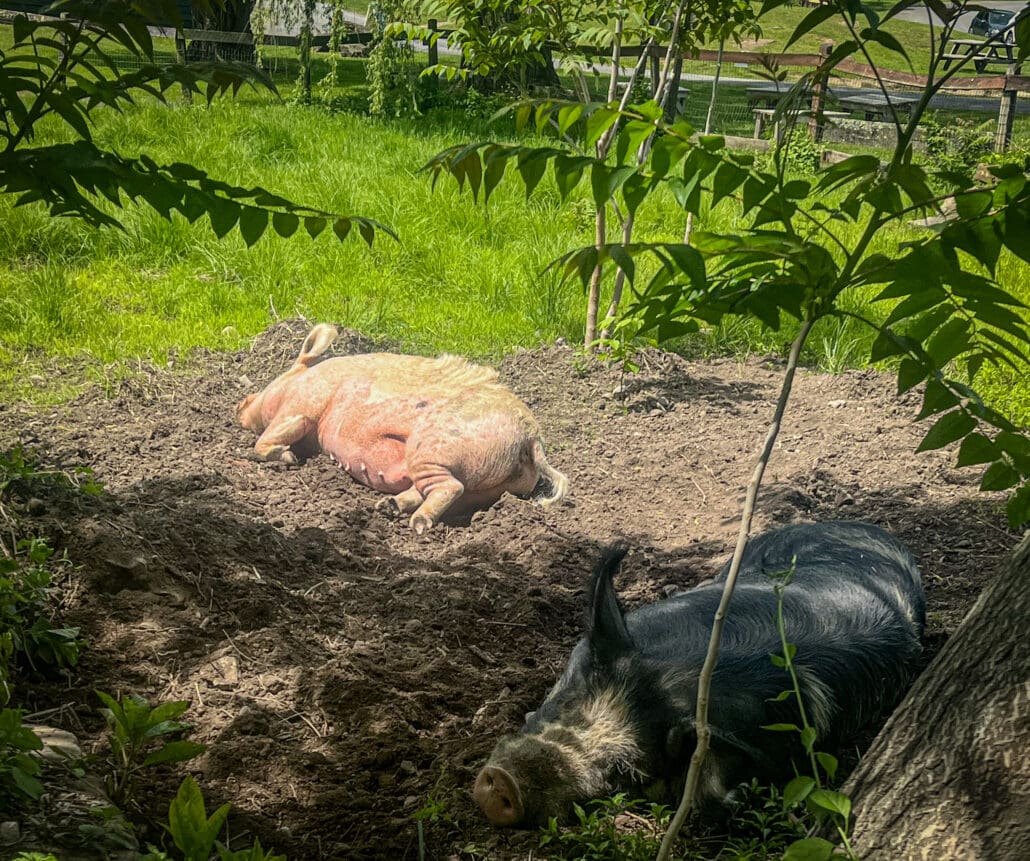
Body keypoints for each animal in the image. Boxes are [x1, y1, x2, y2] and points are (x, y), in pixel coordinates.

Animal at [236, 324, 568, 533]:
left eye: (279, 375)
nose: (241, 403)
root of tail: (530, 436)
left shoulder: (302, 406)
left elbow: (269, 438)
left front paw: (288, 457)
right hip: (485, 487)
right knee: (443, 492)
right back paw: (388, 506)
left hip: (431, 449)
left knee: (450, 487)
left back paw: (417, 524)